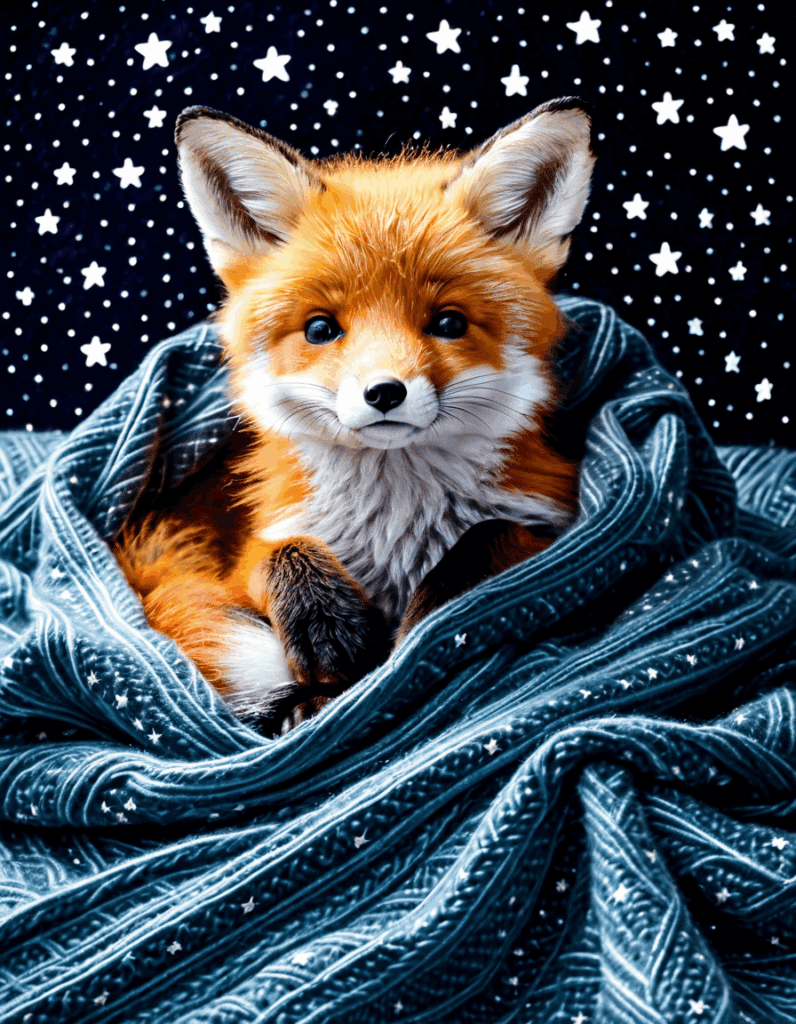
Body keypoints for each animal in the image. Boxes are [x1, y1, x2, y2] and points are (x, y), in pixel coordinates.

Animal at [113, 97, 595, 733]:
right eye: (321, 329)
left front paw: (428, 624)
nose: (385, 392)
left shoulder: (553, 521)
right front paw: (326, 639)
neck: (396, 533)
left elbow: (494, 533)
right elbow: (277, 553)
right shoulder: (250, 547)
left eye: (449, 322)